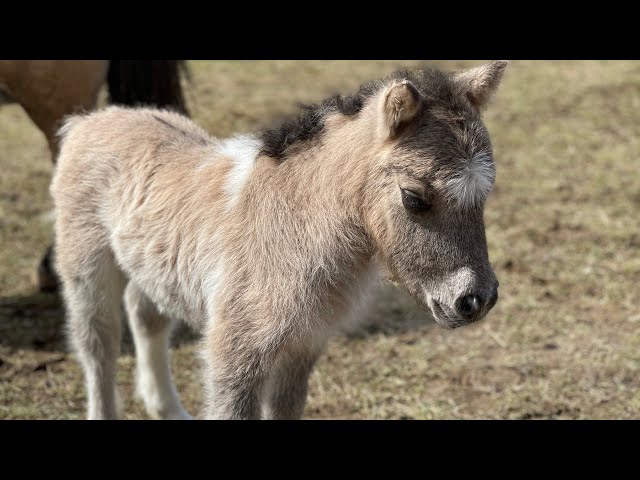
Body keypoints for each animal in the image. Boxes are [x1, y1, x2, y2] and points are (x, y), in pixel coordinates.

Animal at [51, 61, 504, 420]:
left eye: (486, 194)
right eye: (413, 197)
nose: (474, 301)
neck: (299, 227)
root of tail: (88, 121)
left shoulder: (301, 347)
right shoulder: (234, 352)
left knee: (147, 315)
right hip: (85, 266)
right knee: (98, 345)